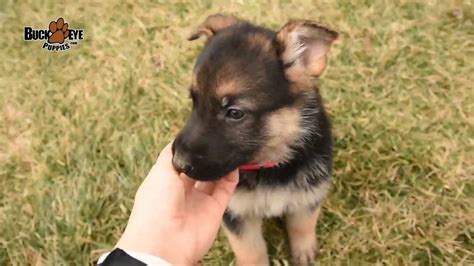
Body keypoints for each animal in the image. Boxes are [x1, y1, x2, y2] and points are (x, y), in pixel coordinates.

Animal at [172, 14, 338, 266]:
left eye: (235, 113)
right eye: (194, 101)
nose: (178, 164)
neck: (271, 165)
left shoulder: (308, 197)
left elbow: (302, 225)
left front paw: (304, 252)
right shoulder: (236, 214)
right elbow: (251, 251)